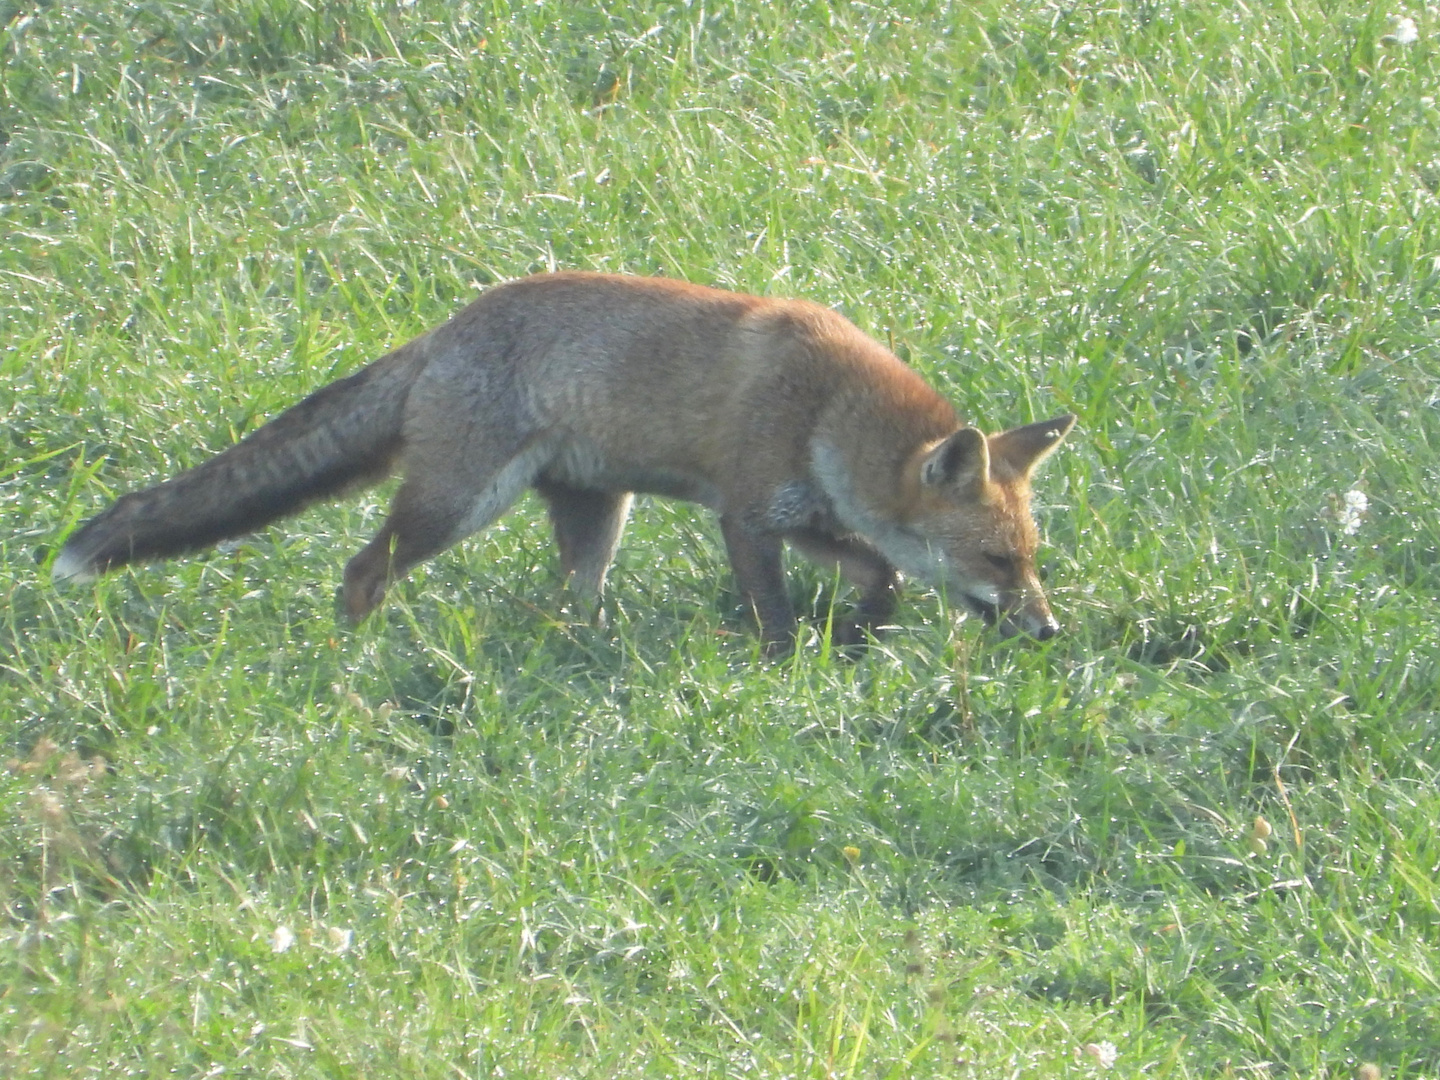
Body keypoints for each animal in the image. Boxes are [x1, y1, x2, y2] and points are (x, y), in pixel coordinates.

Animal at [50, 275, 1077, 656]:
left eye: (1031, 561)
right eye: (997, 560)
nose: (1047, 629)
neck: (826, 409)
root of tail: (444, 329)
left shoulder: (809, 517)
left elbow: (881, 575)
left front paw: (863, 633)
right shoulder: (748, 514)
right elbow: (775, 616)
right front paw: (790, 666)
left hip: (598, 510)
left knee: (569, 601)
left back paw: (583, 653)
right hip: (457, 504)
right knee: (362, 567)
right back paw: (352, 655)